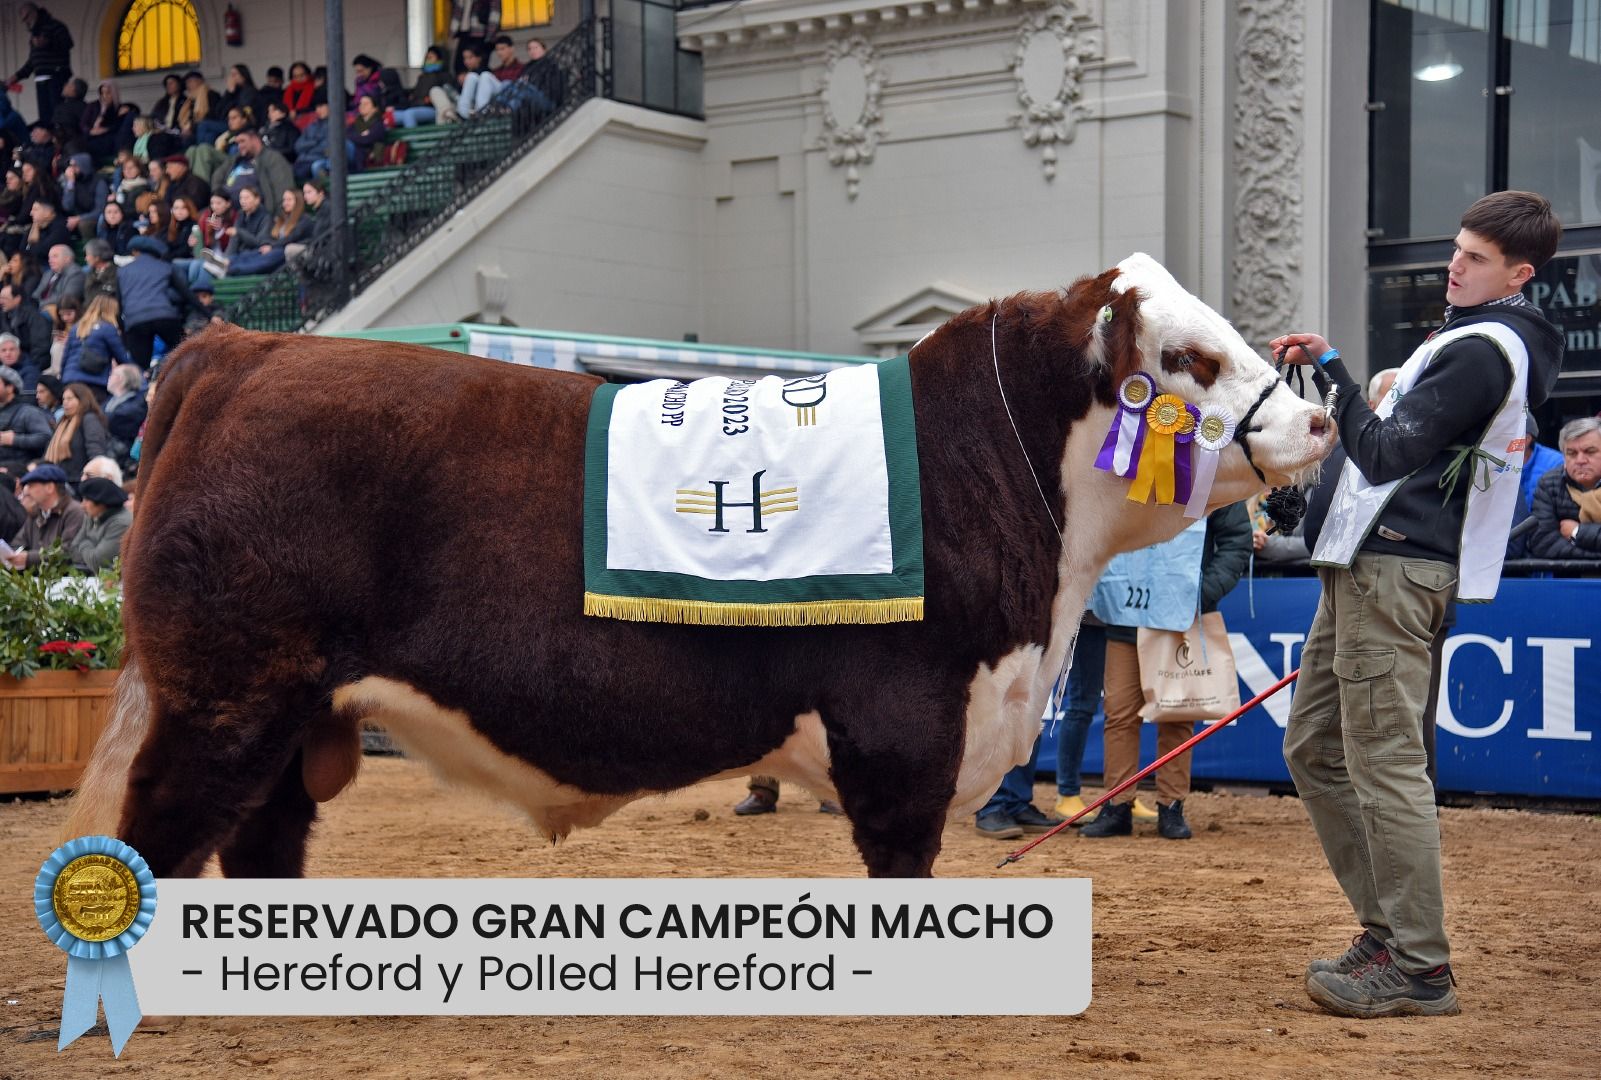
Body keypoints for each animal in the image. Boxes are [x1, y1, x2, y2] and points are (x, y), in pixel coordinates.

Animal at [68, 256, 1332, 876]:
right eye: (1188, 357)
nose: (1317, 420)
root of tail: (244, 347)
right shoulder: (902, 728)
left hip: (288, 715)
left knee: (260, 845)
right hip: (225, 697)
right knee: (163, 839)